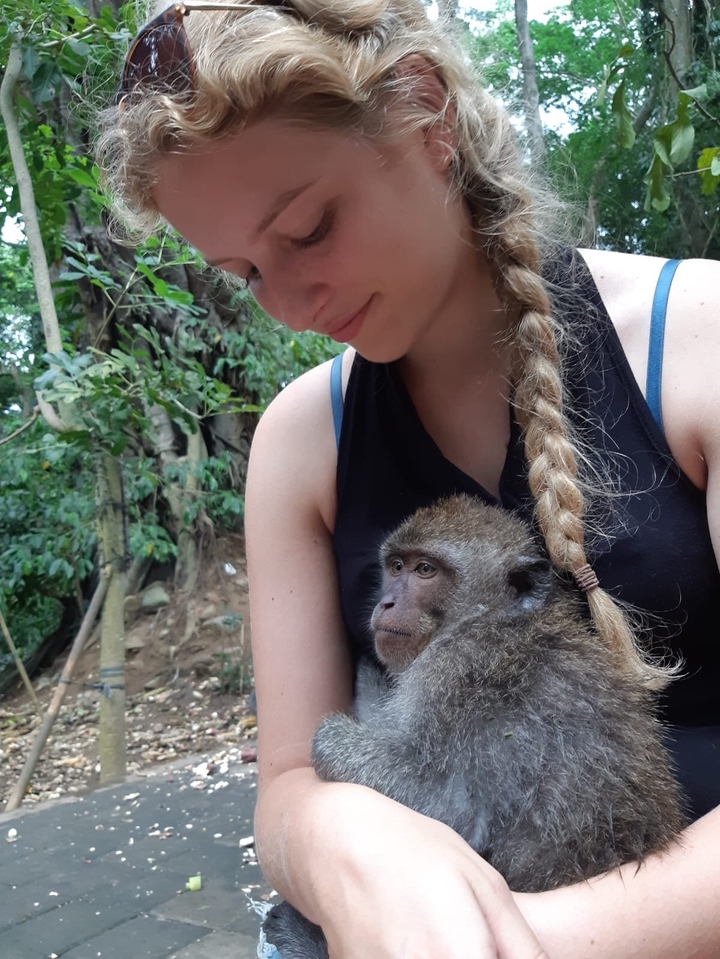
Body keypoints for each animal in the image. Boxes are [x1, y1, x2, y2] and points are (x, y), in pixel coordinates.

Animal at [262, 495, 686, 958]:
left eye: (425, 570)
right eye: (396, 566)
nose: (386, 603)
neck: (492, 618)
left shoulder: (453, 671)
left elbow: (452, 808)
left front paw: (334, 730)